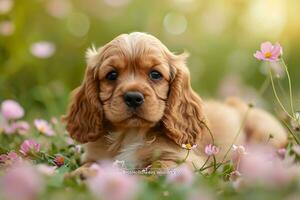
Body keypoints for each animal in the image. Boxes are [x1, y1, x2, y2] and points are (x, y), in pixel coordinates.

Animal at [62, 32, 286, 173]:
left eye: (155, 74)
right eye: (111, 75)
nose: (133, 97)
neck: (132, 134)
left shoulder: (189, 163)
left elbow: (154, 167)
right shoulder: (95, 158)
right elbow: (90, 166)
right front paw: (79, 174)